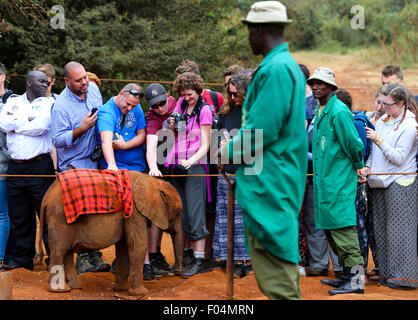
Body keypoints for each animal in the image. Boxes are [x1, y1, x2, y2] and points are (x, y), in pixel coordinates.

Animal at [36, 171, 185, 296]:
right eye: (178, 213)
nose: (177, 272)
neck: (152, 181)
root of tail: (46, 196)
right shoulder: (134, 211)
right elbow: (138, 244)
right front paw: (141, 293)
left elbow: (124, 247)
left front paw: (120, 289)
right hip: (60, 217)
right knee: (59, 251)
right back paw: (59, 290)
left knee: (66, 252)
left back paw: (76, 287)